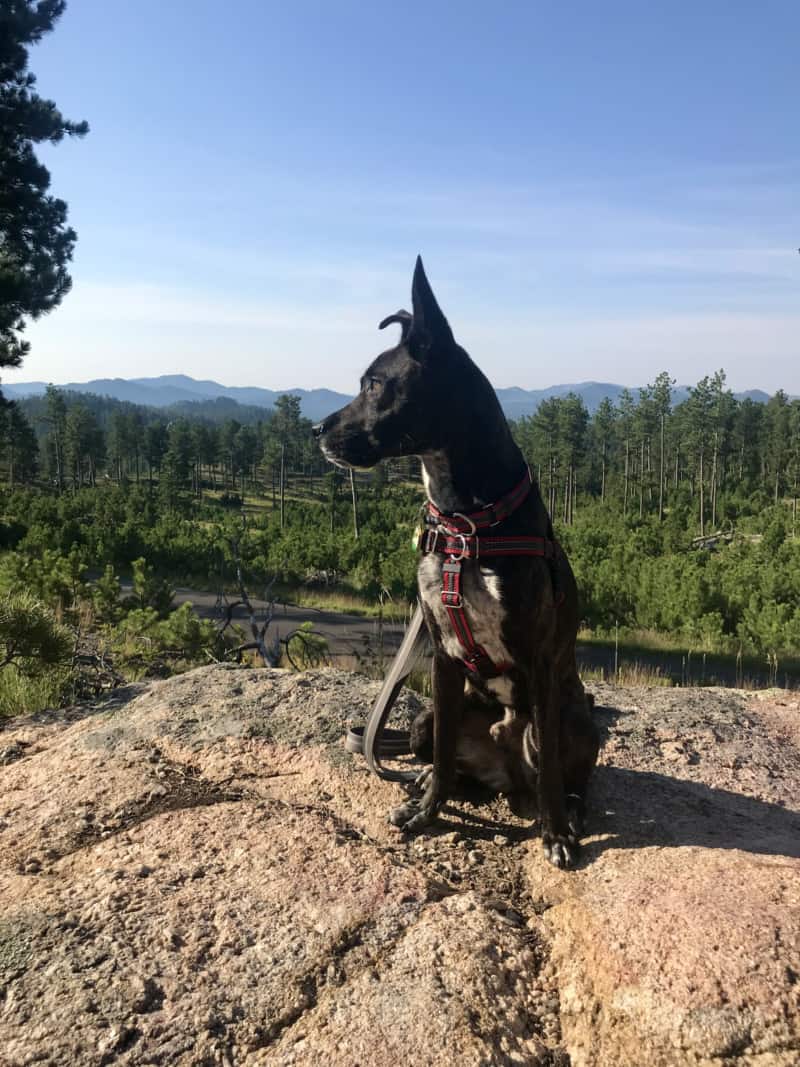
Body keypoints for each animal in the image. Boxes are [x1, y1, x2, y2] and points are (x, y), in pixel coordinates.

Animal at [315, 256, 597, 866]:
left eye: (375, 384)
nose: (315, 430)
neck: (464, 519)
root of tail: (505, 770)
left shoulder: (539, 658)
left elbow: (551, 774)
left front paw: (556, 834)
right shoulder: (442, 657)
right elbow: (444, 754)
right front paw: (428, 812)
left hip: (572, 717)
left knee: (565, 776)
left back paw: (568, 810)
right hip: (422, 715)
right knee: (443, 755)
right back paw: (427, 785)